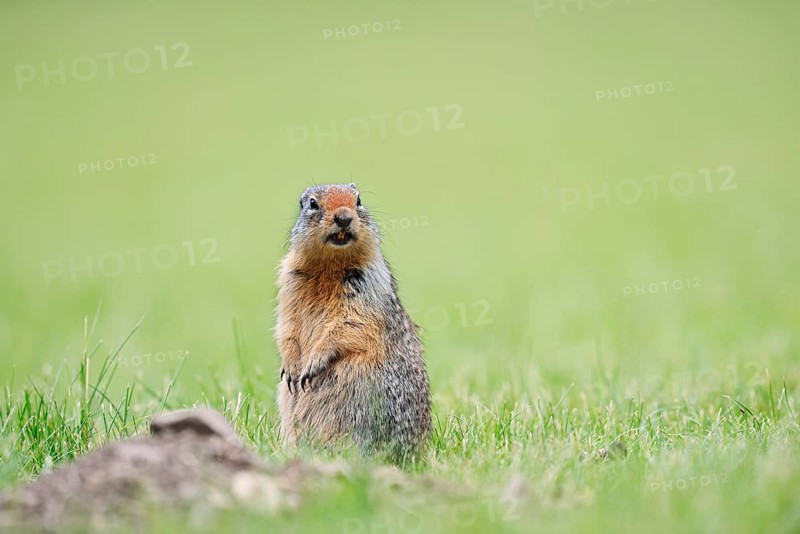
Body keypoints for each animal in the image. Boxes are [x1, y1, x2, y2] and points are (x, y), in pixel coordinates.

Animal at [275, 183, 431, 464]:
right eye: (312, 203)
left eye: (358, 200)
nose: (344, 217)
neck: (330, 264)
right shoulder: (288, 284)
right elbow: (286, 326)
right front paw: (291, 367)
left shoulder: (366, 287)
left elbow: (350, 323)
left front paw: (314, 363)